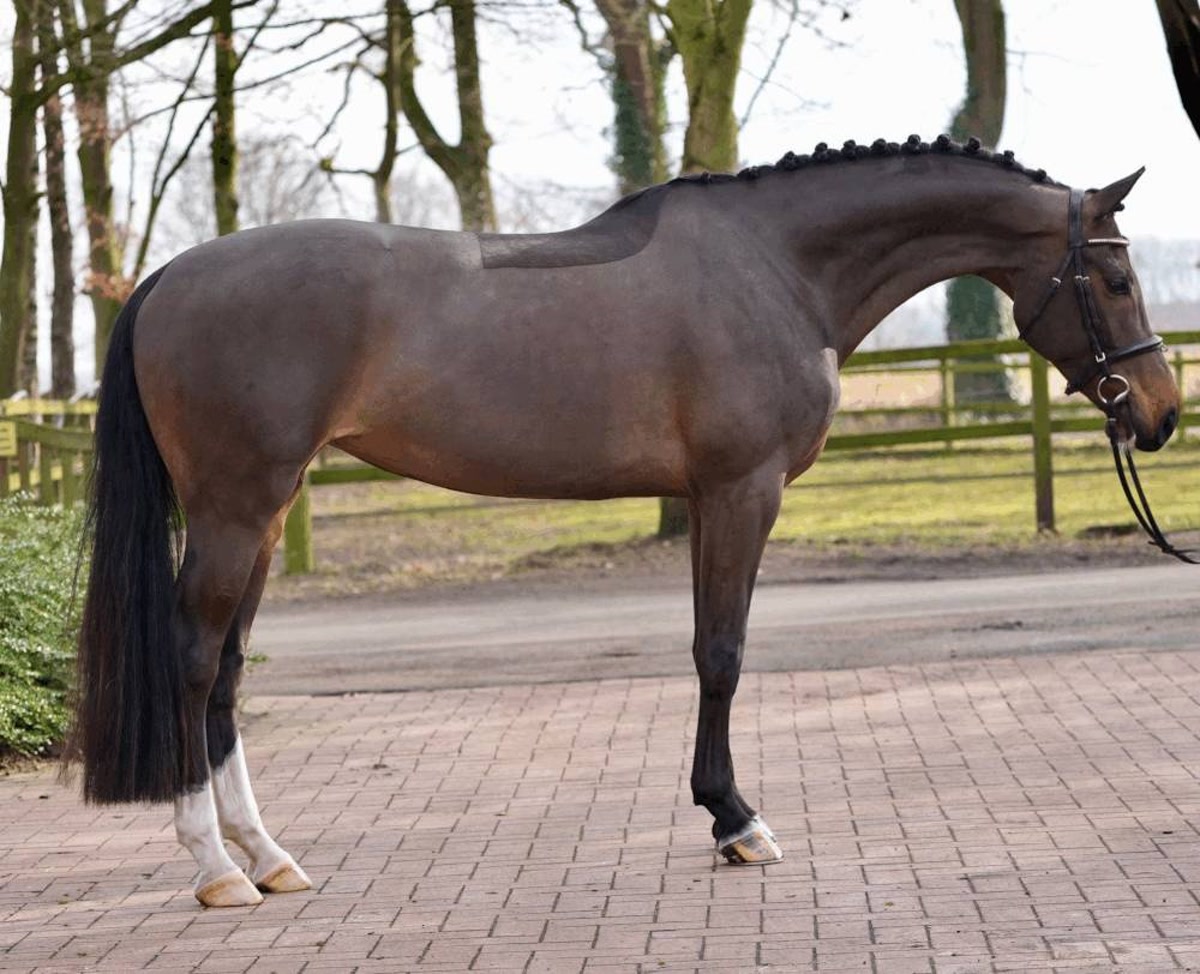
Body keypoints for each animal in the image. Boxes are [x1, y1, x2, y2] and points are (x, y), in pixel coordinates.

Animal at [71, 134, 1180, 907]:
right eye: (1117, 276)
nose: (1161, 413)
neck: (777, 265)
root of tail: (168, 276)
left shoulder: (705, 496)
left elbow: (707, 649)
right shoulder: (741, 490)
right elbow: (722, 654)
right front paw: (735, 820)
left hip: (264, 514)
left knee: (229, 669)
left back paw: (269, 856)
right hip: (236, 507)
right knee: (195, 660)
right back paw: (215, 867)